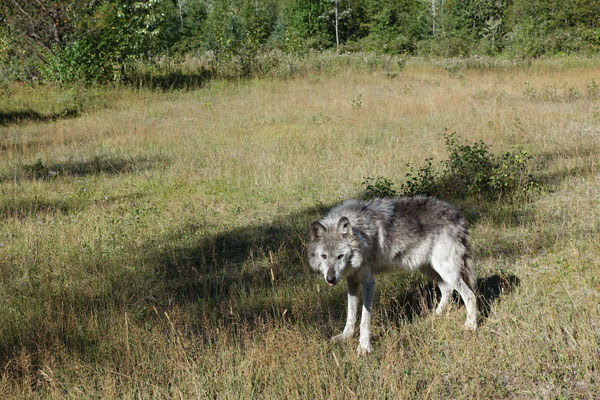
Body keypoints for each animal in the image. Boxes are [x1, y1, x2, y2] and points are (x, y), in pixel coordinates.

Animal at [308, 195, 476, 354]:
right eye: (324, 256)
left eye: (340, 256)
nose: (330, 279)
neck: (360, 234)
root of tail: (457, 214)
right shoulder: (352, 281)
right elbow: (351, 314)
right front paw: (345, 336)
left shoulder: (368, 282)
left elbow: (364, 318)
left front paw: (364, 347)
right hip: (429, 269)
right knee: (447, 289)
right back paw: (436, 314)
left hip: (446, 271)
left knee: (470, 295)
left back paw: (470, 326)